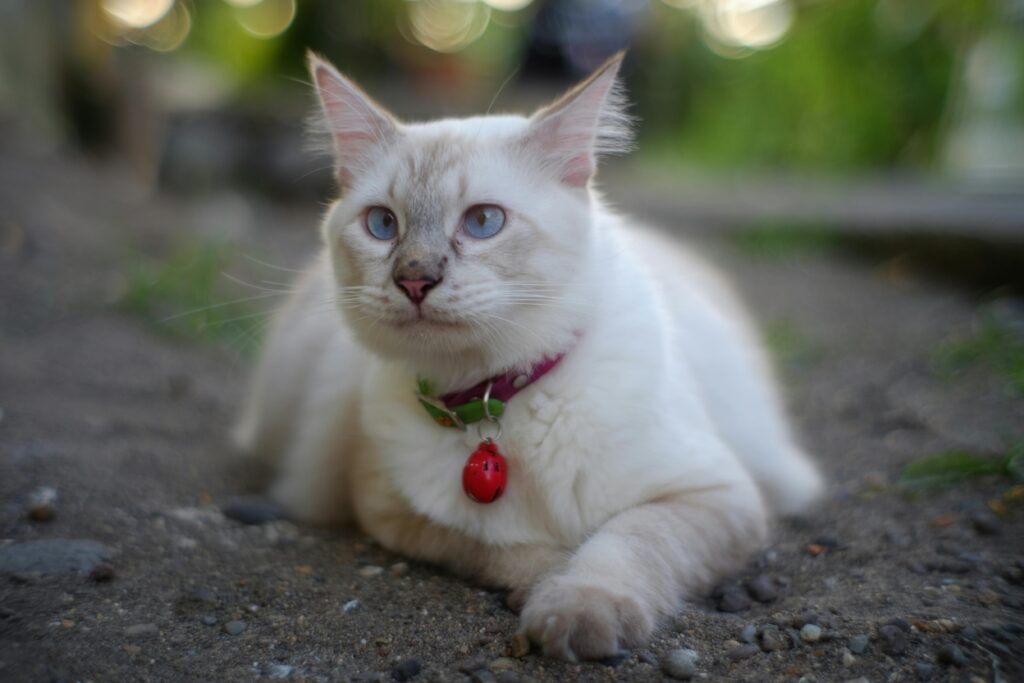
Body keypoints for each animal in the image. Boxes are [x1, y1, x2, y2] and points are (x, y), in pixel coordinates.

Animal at [234, 52, 823, 663]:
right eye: (382, 225)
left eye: (483, 221)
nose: (414, 280)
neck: (492, 395)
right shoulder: (392, 511)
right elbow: (511, 547)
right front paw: (549, 594)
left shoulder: (714, 497)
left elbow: (624, 543)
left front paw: (580, 614)